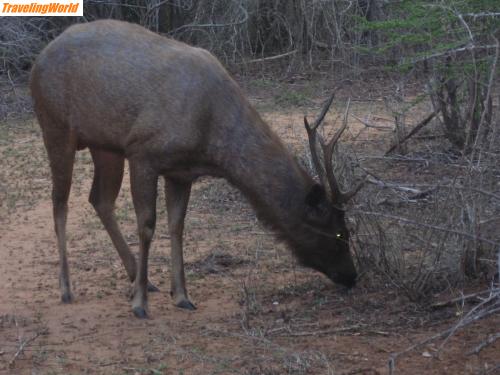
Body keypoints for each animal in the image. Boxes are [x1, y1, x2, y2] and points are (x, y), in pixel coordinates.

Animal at [30, 19, 364, 320]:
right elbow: (147, 225)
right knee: (60, 202)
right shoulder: (143, 151)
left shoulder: (180, 171)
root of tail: (38, 60)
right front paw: (139, 305)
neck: (210, 141)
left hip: (105, 145)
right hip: (55, 126)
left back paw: (140, 278)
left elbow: (177, 226)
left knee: (99, 199)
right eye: (339, 232)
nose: (352, 276)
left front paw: (180, 295)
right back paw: (68, 289)